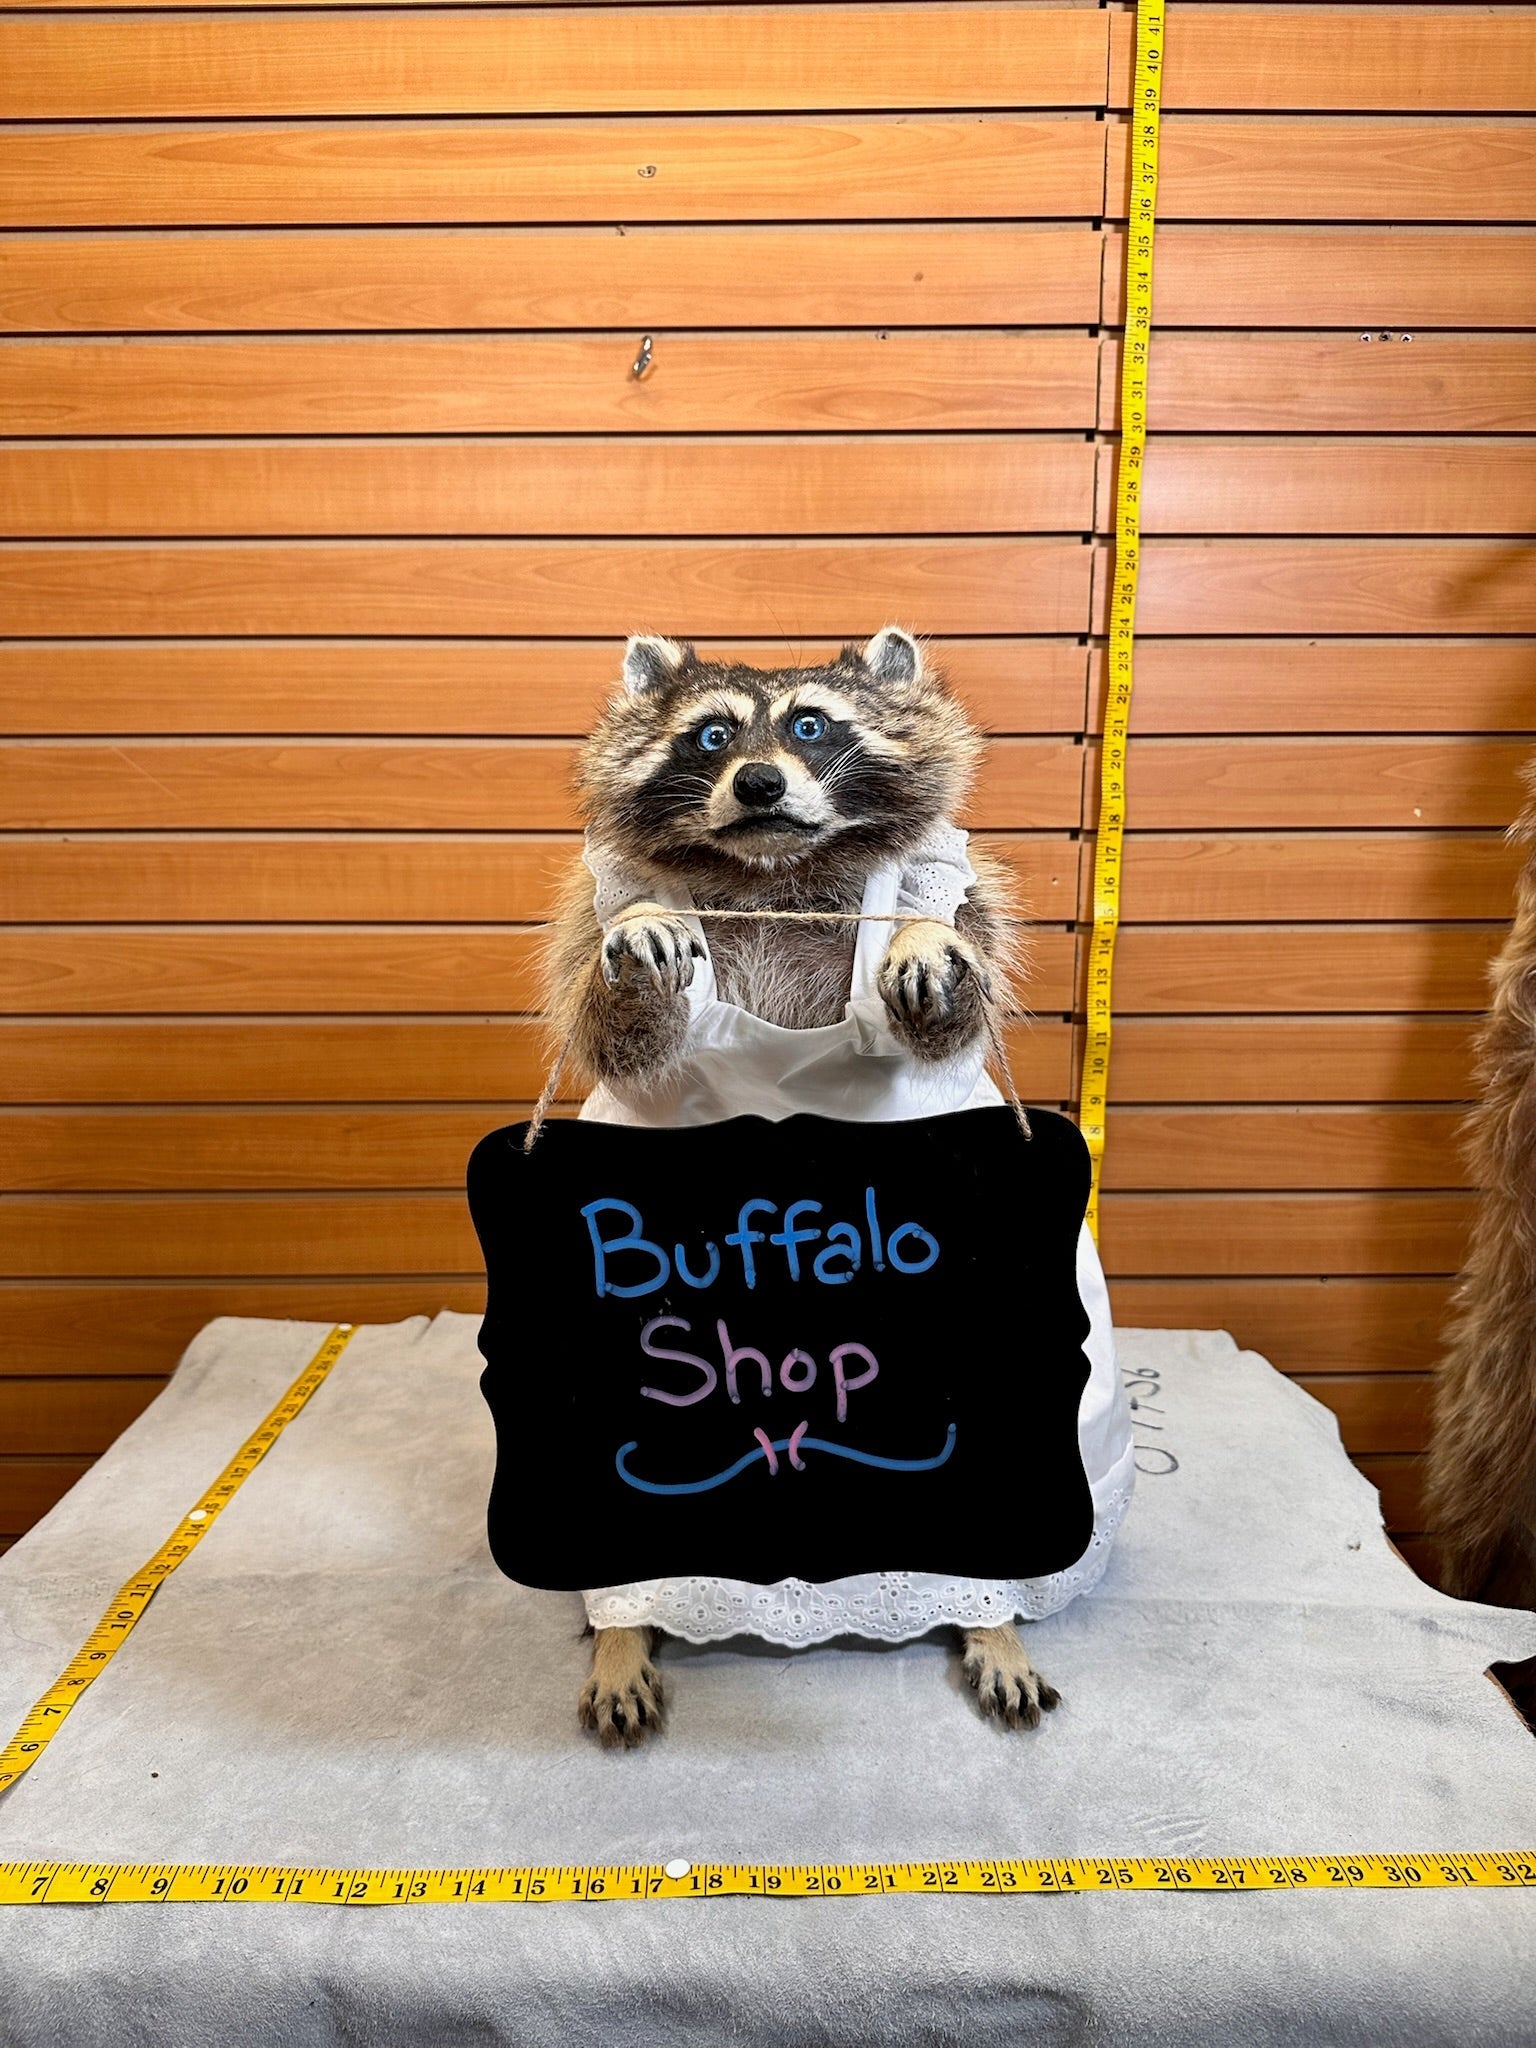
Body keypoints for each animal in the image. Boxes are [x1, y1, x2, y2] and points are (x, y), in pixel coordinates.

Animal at [545, 627, 1058, 1747]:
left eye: (813, 725)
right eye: (711, 735)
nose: (760, 779)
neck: (774, 866)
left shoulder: (951, 882)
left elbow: (955, 984)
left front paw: (920, 944)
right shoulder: (596, 903)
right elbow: (616, 1023)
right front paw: (635, 954)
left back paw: (992, 1619)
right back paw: (622, 1630)